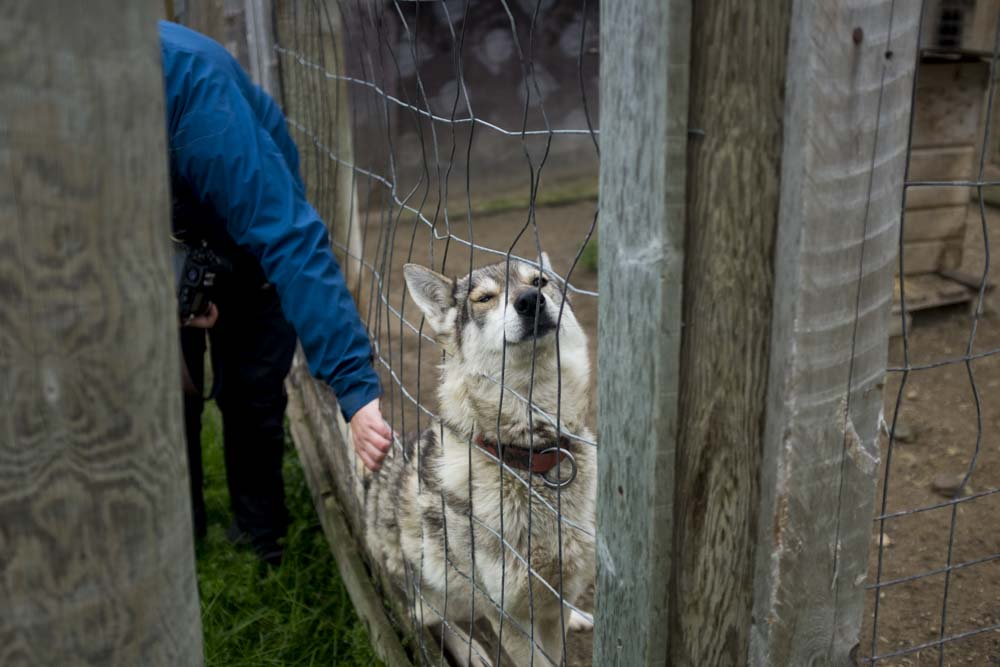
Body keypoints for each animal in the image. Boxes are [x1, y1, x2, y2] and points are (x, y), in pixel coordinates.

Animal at [366, 256, 592, 667]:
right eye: (484, 298)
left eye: (540, 281)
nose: (530, 301)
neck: (530, 455)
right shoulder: (510, 616)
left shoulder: (555, 597)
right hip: (438, 585)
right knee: (429, 619)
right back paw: (472, 651)